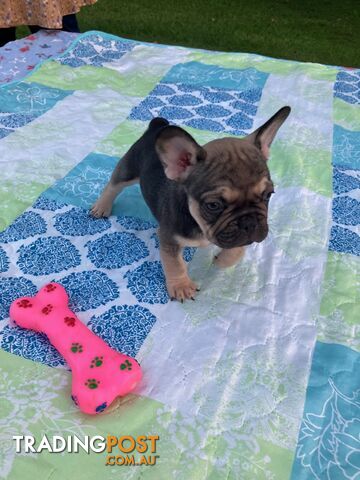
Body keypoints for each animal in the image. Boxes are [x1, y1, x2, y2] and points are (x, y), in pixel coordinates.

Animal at [91, 107, 292, 302]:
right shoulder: (169, 238)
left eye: (268, 195)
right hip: (129, 168)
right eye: (213, 205)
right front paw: (181, 286)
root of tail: (156, 126)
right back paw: (101, 206)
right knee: (113, 185)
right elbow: (175, 264)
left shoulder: (240, 236)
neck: (200, 224)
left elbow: (237, 249)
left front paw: (222, 260)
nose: (249, 222)